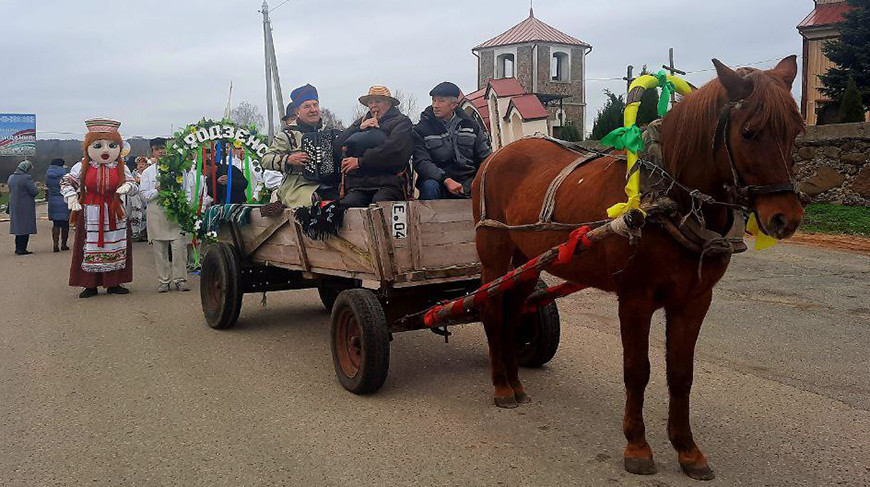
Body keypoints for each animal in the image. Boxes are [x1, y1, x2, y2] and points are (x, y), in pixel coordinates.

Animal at [474, 57, 808, 480]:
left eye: (795, 131)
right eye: (749, 132)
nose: (786, 217)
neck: (667, 201)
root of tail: (496, 156)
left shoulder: (694, 301)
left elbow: (681, 373)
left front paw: (687, 449)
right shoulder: (635, 299)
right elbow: (637, 370)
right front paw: (637, 445)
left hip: (527, 262)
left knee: (513, 309)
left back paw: (515, 381)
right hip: (494, 255)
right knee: (490, 309)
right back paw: (501, 385)